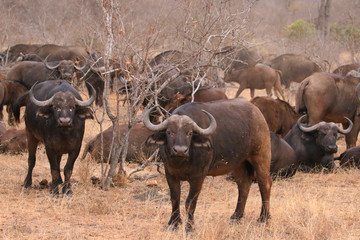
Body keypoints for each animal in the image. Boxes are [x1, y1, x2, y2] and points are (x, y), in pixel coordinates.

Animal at [143, 98, 270, 232]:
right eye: (169, 132)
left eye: (189, 133)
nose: (180, 150)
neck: (181, 162)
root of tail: (258, 113)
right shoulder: (170, 174)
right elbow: (175, 198)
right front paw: (173, 223)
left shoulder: (198, 177)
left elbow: (190, 202)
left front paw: (189, 227)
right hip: (239, 164)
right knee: (244, 185)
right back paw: (236, 217)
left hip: (261, 156)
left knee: (265, 184)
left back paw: (263, 218)